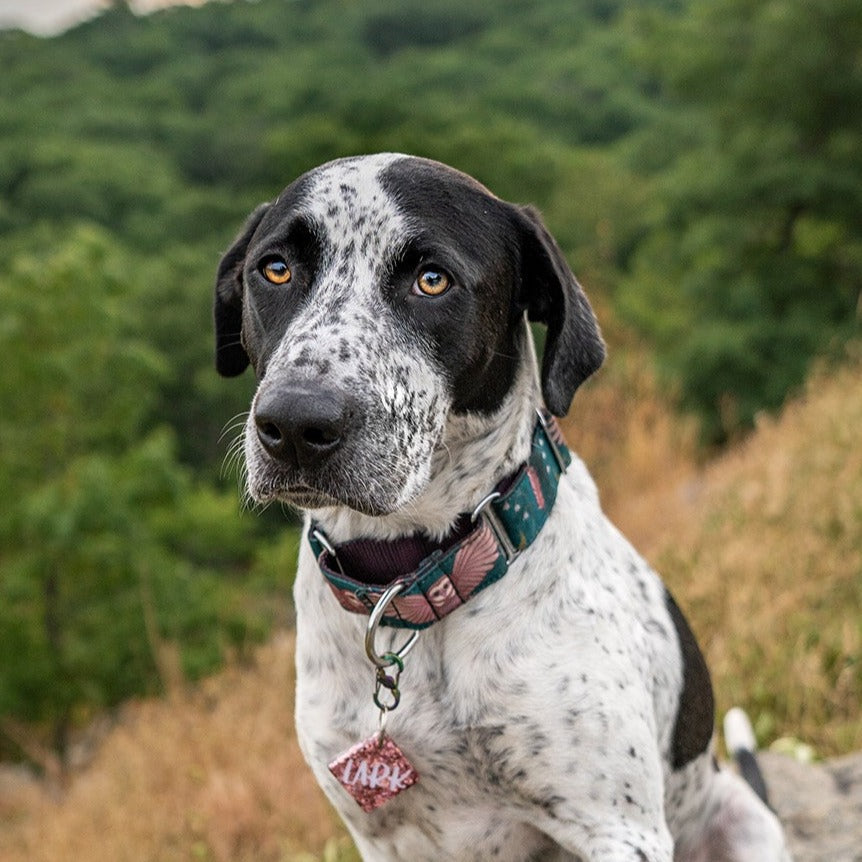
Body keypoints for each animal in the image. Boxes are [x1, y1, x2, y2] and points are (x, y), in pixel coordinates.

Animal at [214, 152, 788, 860]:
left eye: (433, 280)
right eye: (275, 268)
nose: (294, 422)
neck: (411, 582)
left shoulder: (618, 829)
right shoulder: (379, 840)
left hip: (742, 824)